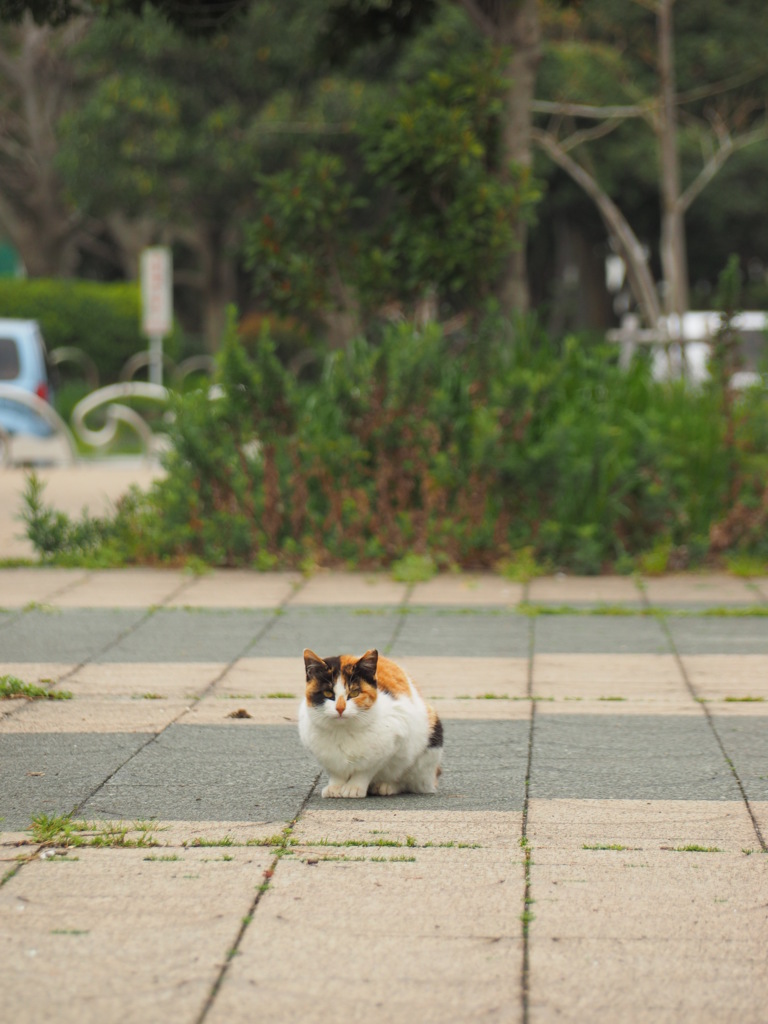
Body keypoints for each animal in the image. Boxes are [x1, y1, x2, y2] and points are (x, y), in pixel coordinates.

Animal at [301, 647, 444, 798]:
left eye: (355, 693)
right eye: (327, 693)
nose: (340, 708)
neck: (342, 731)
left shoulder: (389, 746)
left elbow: (365, 771)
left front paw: (354, 788)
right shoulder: (327, 758)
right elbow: (336, 773)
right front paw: (335, 787)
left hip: (429, 749)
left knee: (407, 781)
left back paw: (386, 787)